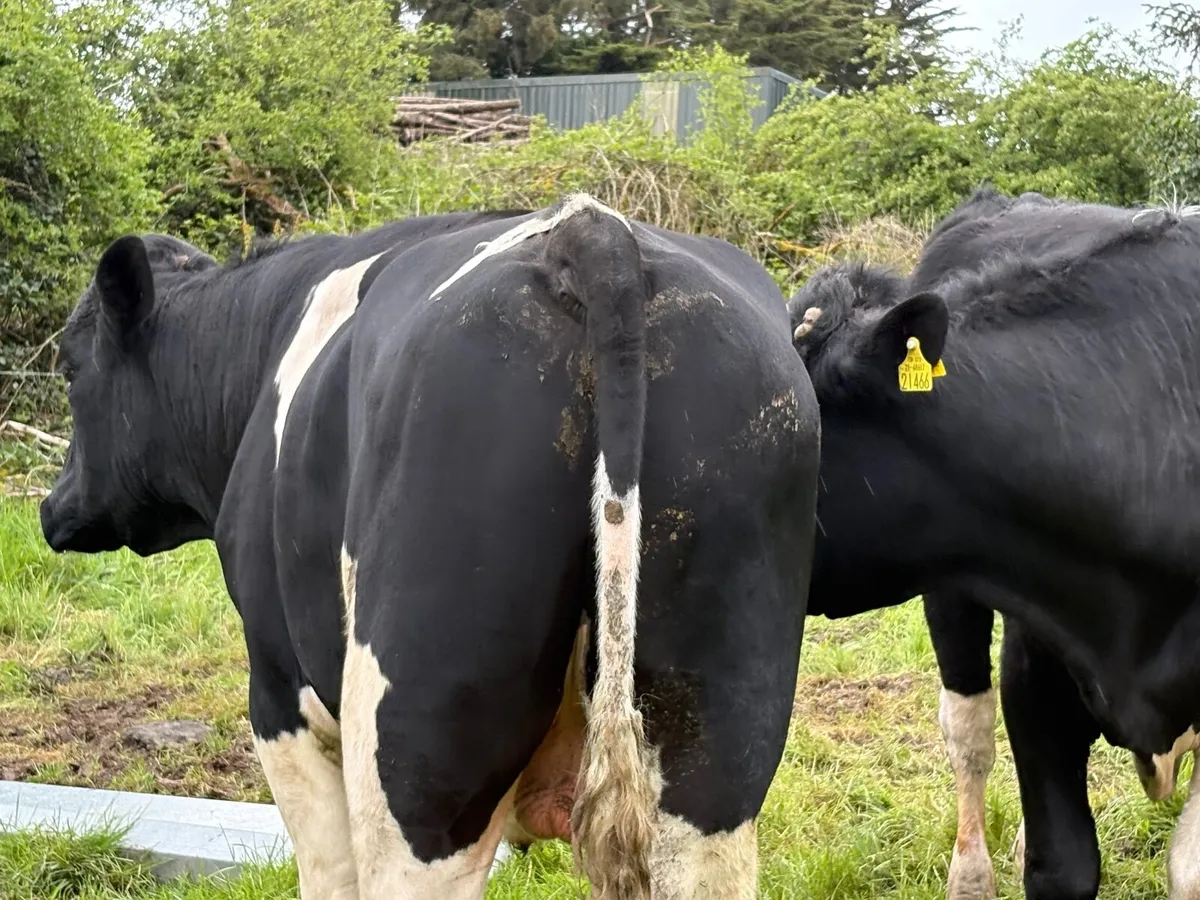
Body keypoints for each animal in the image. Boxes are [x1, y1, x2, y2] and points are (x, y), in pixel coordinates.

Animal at [38, 194, 821, 900]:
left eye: (72, 368)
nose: (51, 507)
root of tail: (592, 233)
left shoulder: (280, 698)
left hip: (417, 752)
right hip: (710, 748)